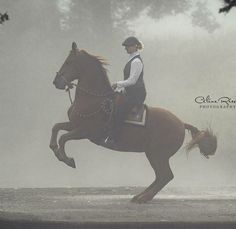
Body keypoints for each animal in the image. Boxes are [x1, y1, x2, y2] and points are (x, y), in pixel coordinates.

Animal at [49, 42, 218, 203]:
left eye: (69, 62)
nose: (56, 82)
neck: (95, 100)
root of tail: (181, 123)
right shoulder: (74, 125)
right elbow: (56, 128)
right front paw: (56, 150)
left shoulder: (85, 132)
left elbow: (63, 138)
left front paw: (67, 160)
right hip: (154, 155)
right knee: (160, 176)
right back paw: (139, 196)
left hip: (157, 155)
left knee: (165, 176)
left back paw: (143, 198)